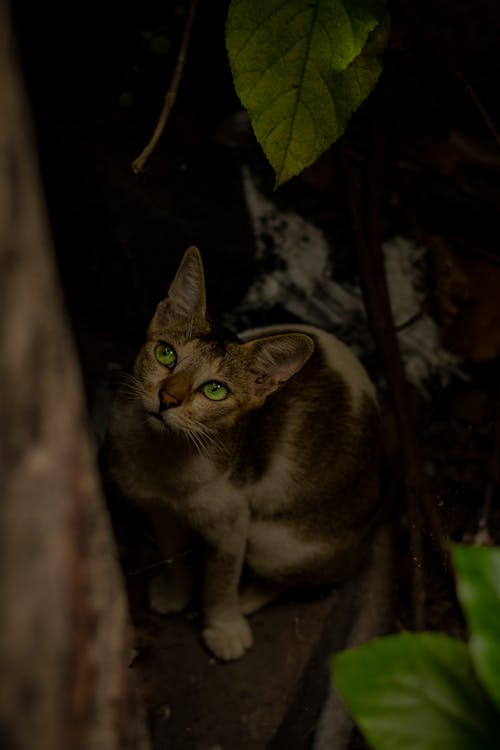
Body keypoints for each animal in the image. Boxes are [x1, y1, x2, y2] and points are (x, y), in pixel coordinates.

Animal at [104, 248, 378, 664]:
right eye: (165, 353)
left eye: (215, 390)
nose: (168, 398)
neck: (164, 457)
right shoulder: (159, 510)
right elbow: (173, 554)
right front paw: (176, 593)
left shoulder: (232, 524)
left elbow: (220, 582)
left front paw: (224, 628)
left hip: (274, 541)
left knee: (299, 577)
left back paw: (247, 599)